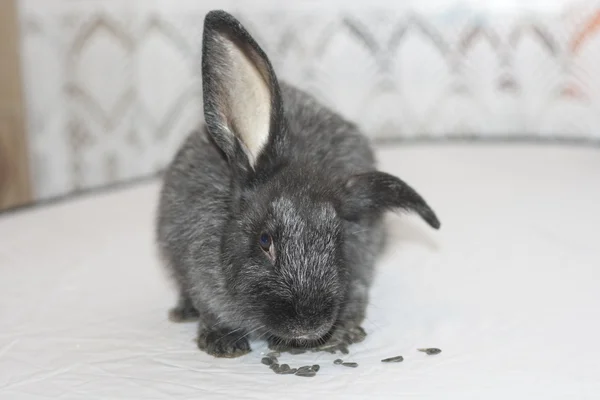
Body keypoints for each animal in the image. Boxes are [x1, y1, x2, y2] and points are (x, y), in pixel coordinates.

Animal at [155, 10, 440, 360]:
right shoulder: (199, 276)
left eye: (338, 240)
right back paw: (182, 312)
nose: (308, 325)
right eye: (264, 240)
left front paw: (340, 334)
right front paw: (223, 343)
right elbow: (211, 309)